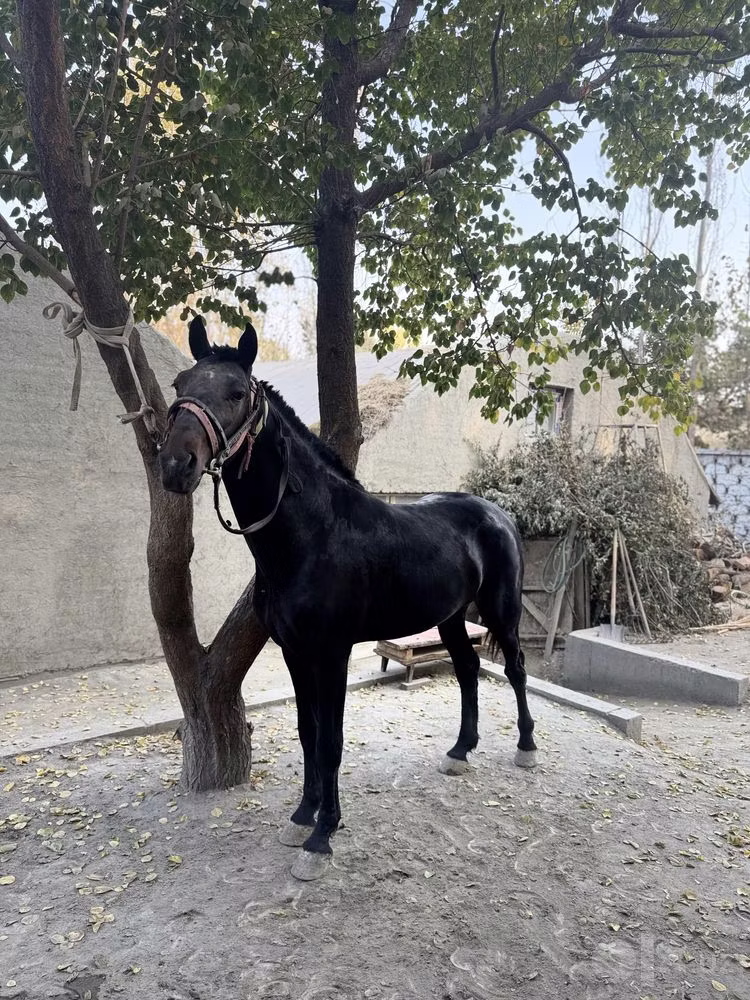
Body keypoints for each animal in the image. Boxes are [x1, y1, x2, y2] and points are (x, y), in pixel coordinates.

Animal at [159, 316, 537, 881]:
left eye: (235, 393)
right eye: (180, 384)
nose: (175, 464)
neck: (312, 535)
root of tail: (497, 513)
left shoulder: (332, 654)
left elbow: (331, 741)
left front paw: (323, 835)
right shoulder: (295, 653)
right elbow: (307, 732)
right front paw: (302, 815)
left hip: (502, 614)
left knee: (514, 670)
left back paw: (526, 747)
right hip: (450, 619)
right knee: (469, 670)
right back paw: (459, 751)